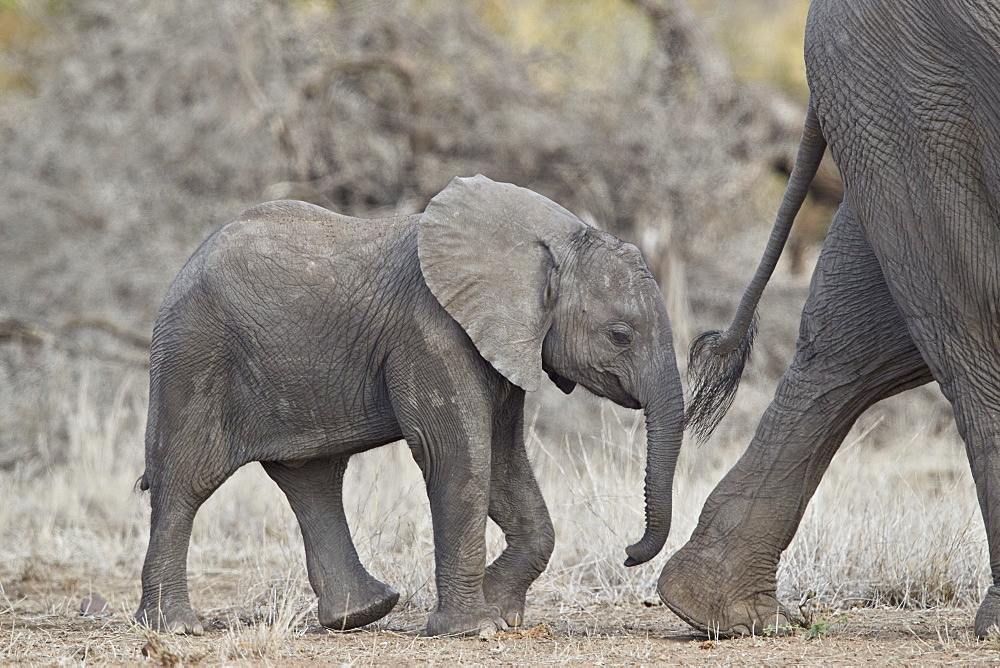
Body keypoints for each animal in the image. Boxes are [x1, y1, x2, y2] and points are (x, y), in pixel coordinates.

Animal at [135, 175, 688, 636]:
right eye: (620, 335)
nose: (628, 554)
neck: (555, 238)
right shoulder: (431, 331)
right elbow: (458, 457)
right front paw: (474, 629)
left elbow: (502, 461)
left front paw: (497, 610)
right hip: (193, 354)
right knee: (185, 481)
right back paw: (176, 628)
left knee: (312, 478)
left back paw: (361, 614)